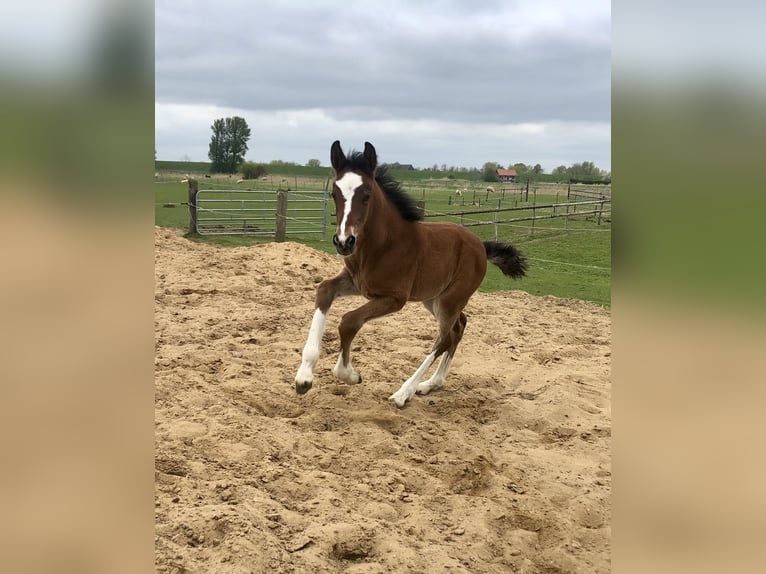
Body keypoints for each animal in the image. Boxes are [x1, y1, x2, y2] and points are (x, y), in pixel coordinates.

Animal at [294, 141, 527, 408]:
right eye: (334, 193)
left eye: (366, 195)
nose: (344, 242)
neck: (381, 246)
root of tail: (481, 246)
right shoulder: (356, 283)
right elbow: (324, 290)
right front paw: (303, 378)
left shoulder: (395, 298)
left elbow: (349, 321)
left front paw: (351, 375)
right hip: (434, 298)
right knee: (458, 327)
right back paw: (432, 384)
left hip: (451, 299)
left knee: (444, 338)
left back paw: (404, 392)